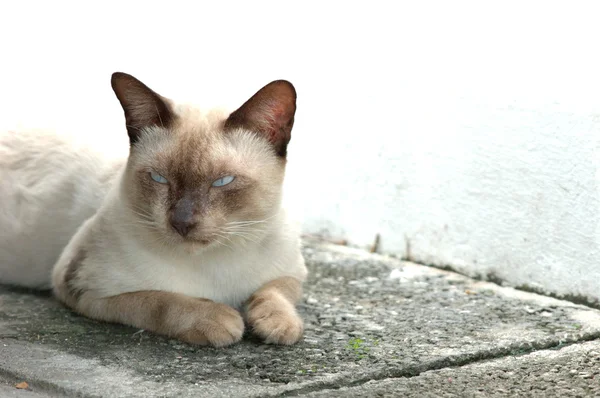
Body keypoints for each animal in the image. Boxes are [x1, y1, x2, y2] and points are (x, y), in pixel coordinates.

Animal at [0, 72, 308, 346]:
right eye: (159, 178)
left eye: (222, 181)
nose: (182, 222)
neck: (217, 264)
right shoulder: (83, 287)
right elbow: (161, 301)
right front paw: (221, 320)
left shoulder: (293, 272)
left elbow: (273, 292)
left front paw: (279, 326)